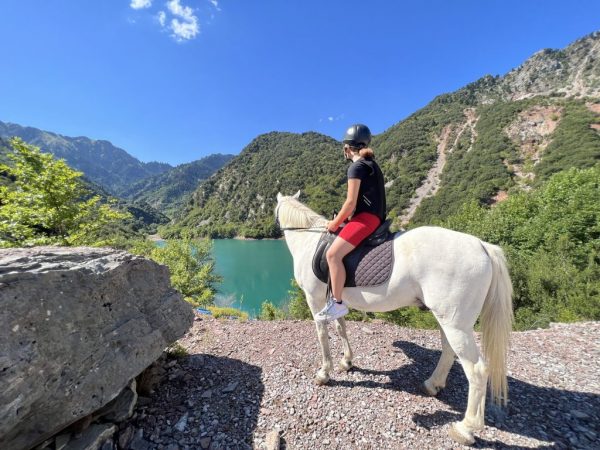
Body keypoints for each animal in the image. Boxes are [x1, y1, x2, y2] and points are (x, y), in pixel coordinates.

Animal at [274, 192, 512, 444]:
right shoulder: (335, 300)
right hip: (448, 321)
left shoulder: (314, 299)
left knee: (477, 370)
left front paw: (324, 373)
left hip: (456, 325)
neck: (309, 240)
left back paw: (466, 429)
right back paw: (432, 385)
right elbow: (341, 329)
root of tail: (482, 246)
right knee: (449, 351)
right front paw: (347, 361)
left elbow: (322, 334)